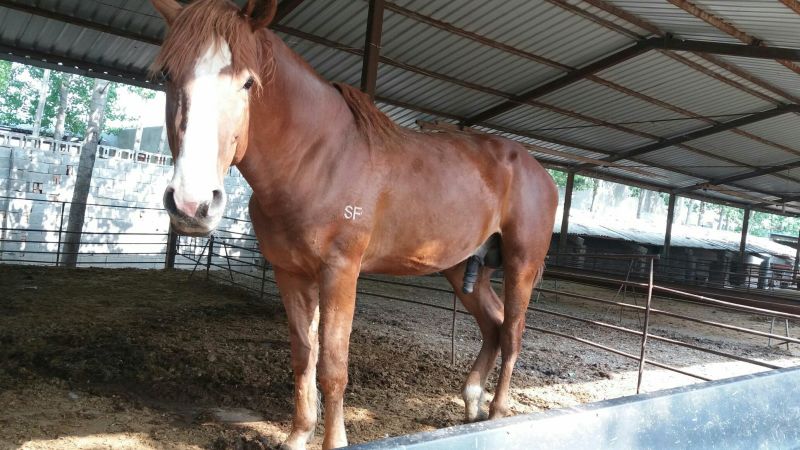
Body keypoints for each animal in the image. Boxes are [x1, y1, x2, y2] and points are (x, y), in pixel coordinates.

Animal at [150, 0, 558, 448]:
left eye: (247, 83)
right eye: (167, 75)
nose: (192, 204)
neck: (318, 159)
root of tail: (540, 170)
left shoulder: (340, 272)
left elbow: (332, 365)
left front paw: (333, 439)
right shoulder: (290, 273)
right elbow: (303, 356)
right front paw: (298, 435)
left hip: (520, 264)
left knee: (513, 332)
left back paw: (498, 413)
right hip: (462, 267)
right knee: (493, 326)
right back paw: (471, 404)